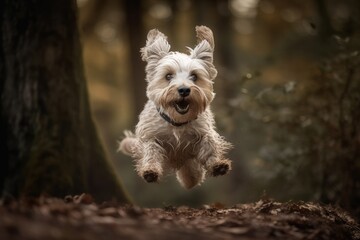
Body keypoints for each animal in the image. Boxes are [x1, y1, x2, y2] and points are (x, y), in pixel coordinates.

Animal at [118, 25, 231, 188]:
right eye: (168, 76)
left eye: (194, 76)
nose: (184, 90)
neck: (177, 122)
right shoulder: (149, 135)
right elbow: (150, 150)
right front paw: (150, 171)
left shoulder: (203, 131)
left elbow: (209, 143)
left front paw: (217, 164)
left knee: (192, 176)